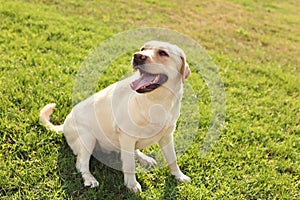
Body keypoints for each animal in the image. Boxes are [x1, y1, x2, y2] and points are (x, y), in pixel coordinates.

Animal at [39, 40, 191, 192]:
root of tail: (65, 122)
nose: (137, 56)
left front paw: (179, 176)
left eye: (163, 53)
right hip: (87, 138)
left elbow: (173, 158)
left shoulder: (167, 136)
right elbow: (129, 164)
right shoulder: (127, 136)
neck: (157, 102)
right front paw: (131, 185)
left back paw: (144, 158)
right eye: (143, 49)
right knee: (81, 163)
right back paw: (89, 179)